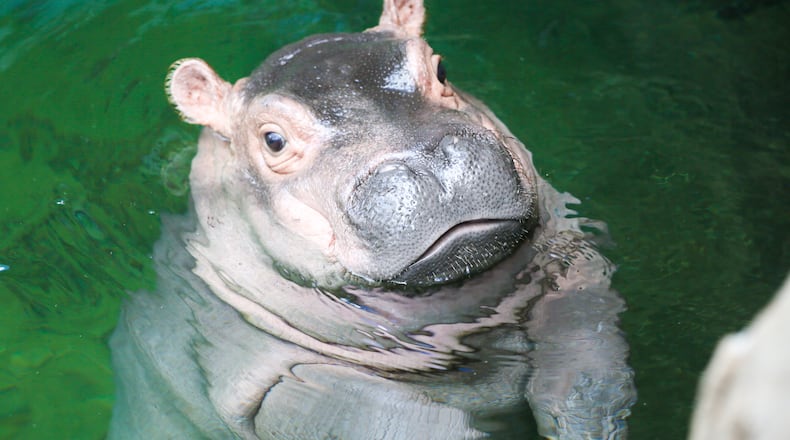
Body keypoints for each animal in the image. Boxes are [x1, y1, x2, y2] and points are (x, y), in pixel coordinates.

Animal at [109, 0, 636, 438]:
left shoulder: (572, 257)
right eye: (272, 140)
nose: (429, 159)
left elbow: (586, 357)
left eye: (441, 67)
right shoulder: (283, 376)